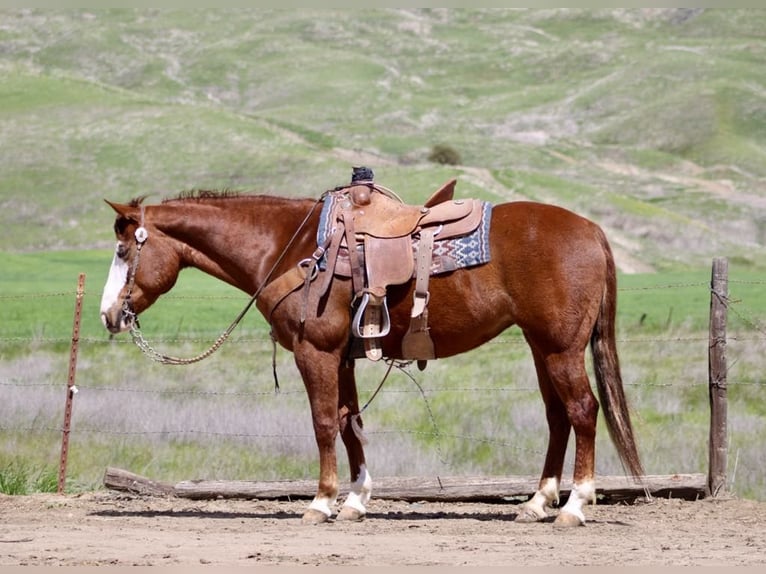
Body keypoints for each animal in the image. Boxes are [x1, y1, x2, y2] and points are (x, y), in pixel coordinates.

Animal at [99, 185, 644, 527]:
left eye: (124, 252)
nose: (108, 315)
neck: (289, 246)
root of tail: (592, 231)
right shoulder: (342, 357)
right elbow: (349, 423)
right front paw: (356, 501)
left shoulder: (315, 352)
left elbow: (323, 424)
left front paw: (321, 503)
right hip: (541, 346)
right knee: (558, 417)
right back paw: (536, 502)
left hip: (560, 348)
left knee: (583, 411)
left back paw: (574, 506)